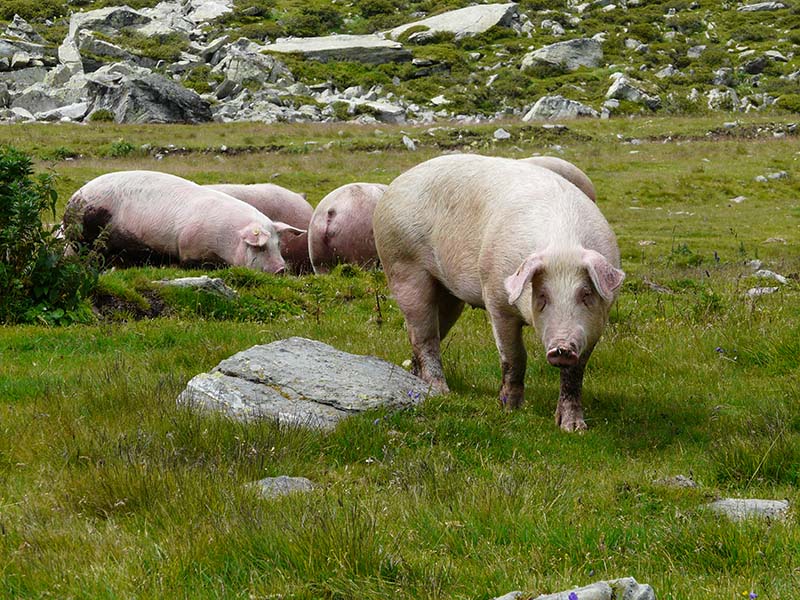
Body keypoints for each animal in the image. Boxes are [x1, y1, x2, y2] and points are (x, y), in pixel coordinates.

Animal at [64, 171, 304, 274]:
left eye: (278, 245)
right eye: (260, 247)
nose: (281, 269)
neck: (228, 238)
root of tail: (73, 198)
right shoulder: (190, 247)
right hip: (90, 231)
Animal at [374, 155, 624, 432]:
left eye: (586, 294)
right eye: (542, 296)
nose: (562, 348)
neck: (562, 244)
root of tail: (394, 184)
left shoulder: (596, 323)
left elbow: (574, 374)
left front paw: (573, 428)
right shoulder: (496, 298)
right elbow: (514, 357)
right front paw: (510, 410)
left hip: (448, 294)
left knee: (428, 334)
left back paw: (416, 381)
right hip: (402, 265)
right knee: (424, 337)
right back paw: (441, 392)